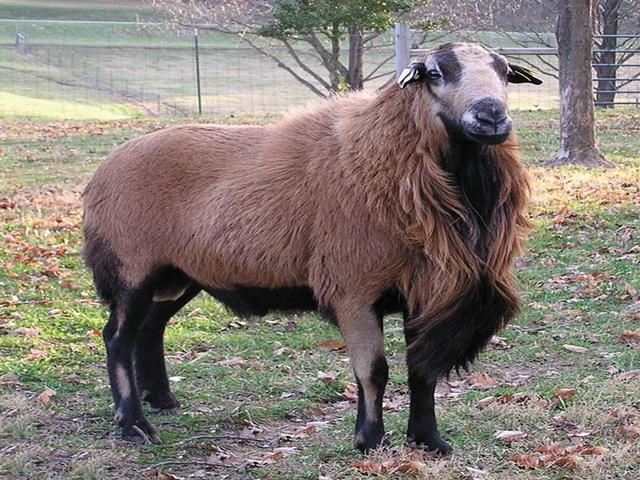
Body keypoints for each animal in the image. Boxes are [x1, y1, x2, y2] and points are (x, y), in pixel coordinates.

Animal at [82, 42, 542, 454]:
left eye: (505, 72)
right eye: (434, 72)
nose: (491, 116)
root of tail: (105, 168)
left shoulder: (425, 290)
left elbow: (422, 371)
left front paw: (429, 441)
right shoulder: (353, 291)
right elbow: (373, 372)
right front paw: (369, 441)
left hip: (179, 275)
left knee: (151, 328)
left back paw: (163, 402)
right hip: (132, 268)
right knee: (117, 337)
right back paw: (134, 425)